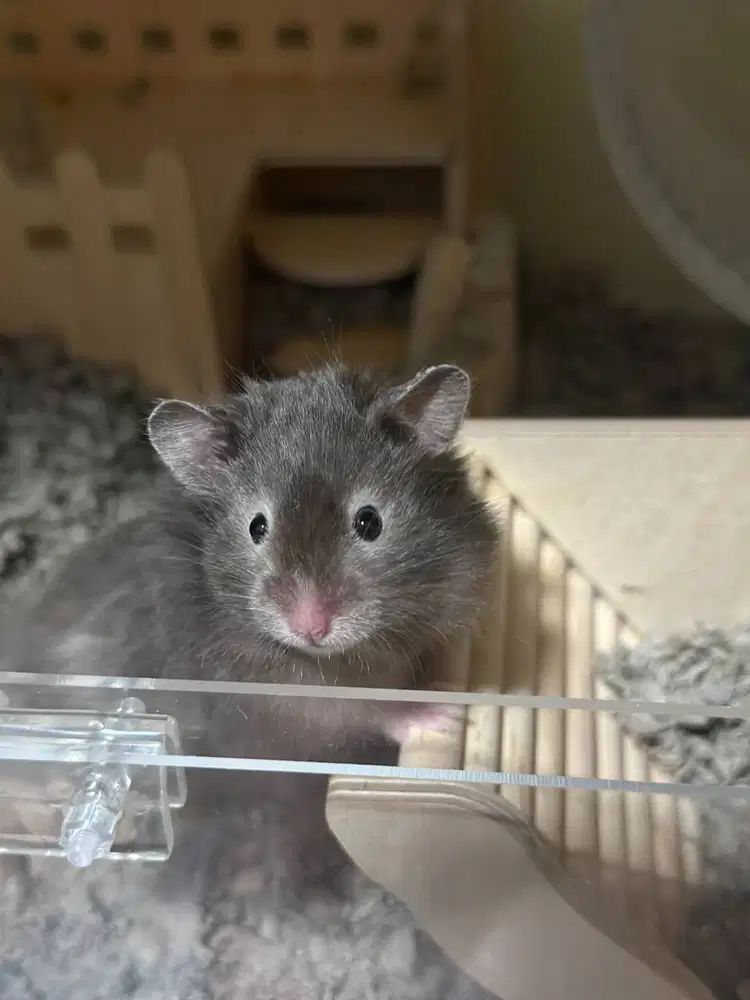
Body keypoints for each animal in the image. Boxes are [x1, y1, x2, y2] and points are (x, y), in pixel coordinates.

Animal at [9, 364, 499, 759]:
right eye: (256, 527)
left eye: (370, 521)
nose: (311, 627)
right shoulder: (274, 699)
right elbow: (360, 710)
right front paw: (447, 715)